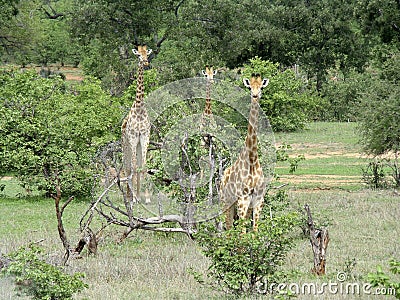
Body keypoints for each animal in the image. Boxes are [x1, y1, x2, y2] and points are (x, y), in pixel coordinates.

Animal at [217, 72, 270, 232]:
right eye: (249, 87)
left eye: (261, 87)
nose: (255, 95)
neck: (252, 159)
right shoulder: (242, 200)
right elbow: (242, 233)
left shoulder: (258, 200)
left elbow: (254, 231)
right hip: (226, 202)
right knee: (228, 228)